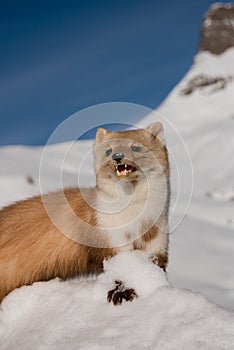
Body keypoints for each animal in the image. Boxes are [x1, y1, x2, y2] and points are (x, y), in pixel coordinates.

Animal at [0, 122, 169, 304]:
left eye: (136, 147)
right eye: (108, 150)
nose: (117, 156)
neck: (137, 221)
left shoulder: (158, 239)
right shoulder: (109, 236)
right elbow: (116, 268)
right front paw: (120, 293)